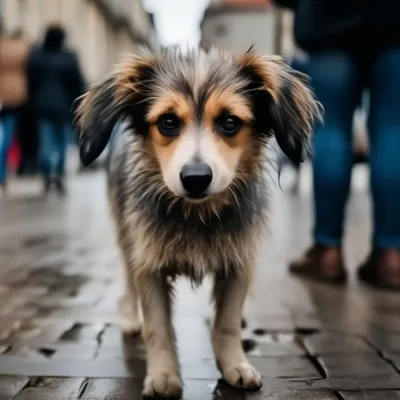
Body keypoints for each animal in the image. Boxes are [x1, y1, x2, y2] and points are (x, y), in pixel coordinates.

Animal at [73, 47, 320, 400]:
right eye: (168, 122)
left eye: (230, 122)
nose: (195, 178)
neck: (197, 214)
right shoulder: (148, 262)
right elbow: (158, 327)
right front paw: (163, 376)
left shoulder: (239, 262)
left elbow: (226, 322)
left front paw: (234, 365)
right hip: (125, 236)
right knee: (128, 285)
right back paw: (131, 318)